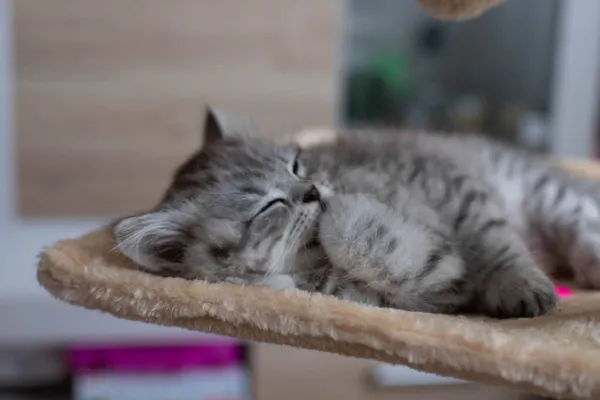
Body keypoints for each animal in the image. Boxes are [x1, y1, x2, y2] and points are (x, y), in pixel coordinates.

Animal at [112, 107, 600, 318]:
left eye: (296, 164)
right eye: (271, 205)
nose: (313, 191)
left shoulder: (454, 190)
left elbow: (496, 244)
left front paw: (518, 283)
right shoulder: (434, 287)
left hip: (543, 192)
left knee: (580, 216)